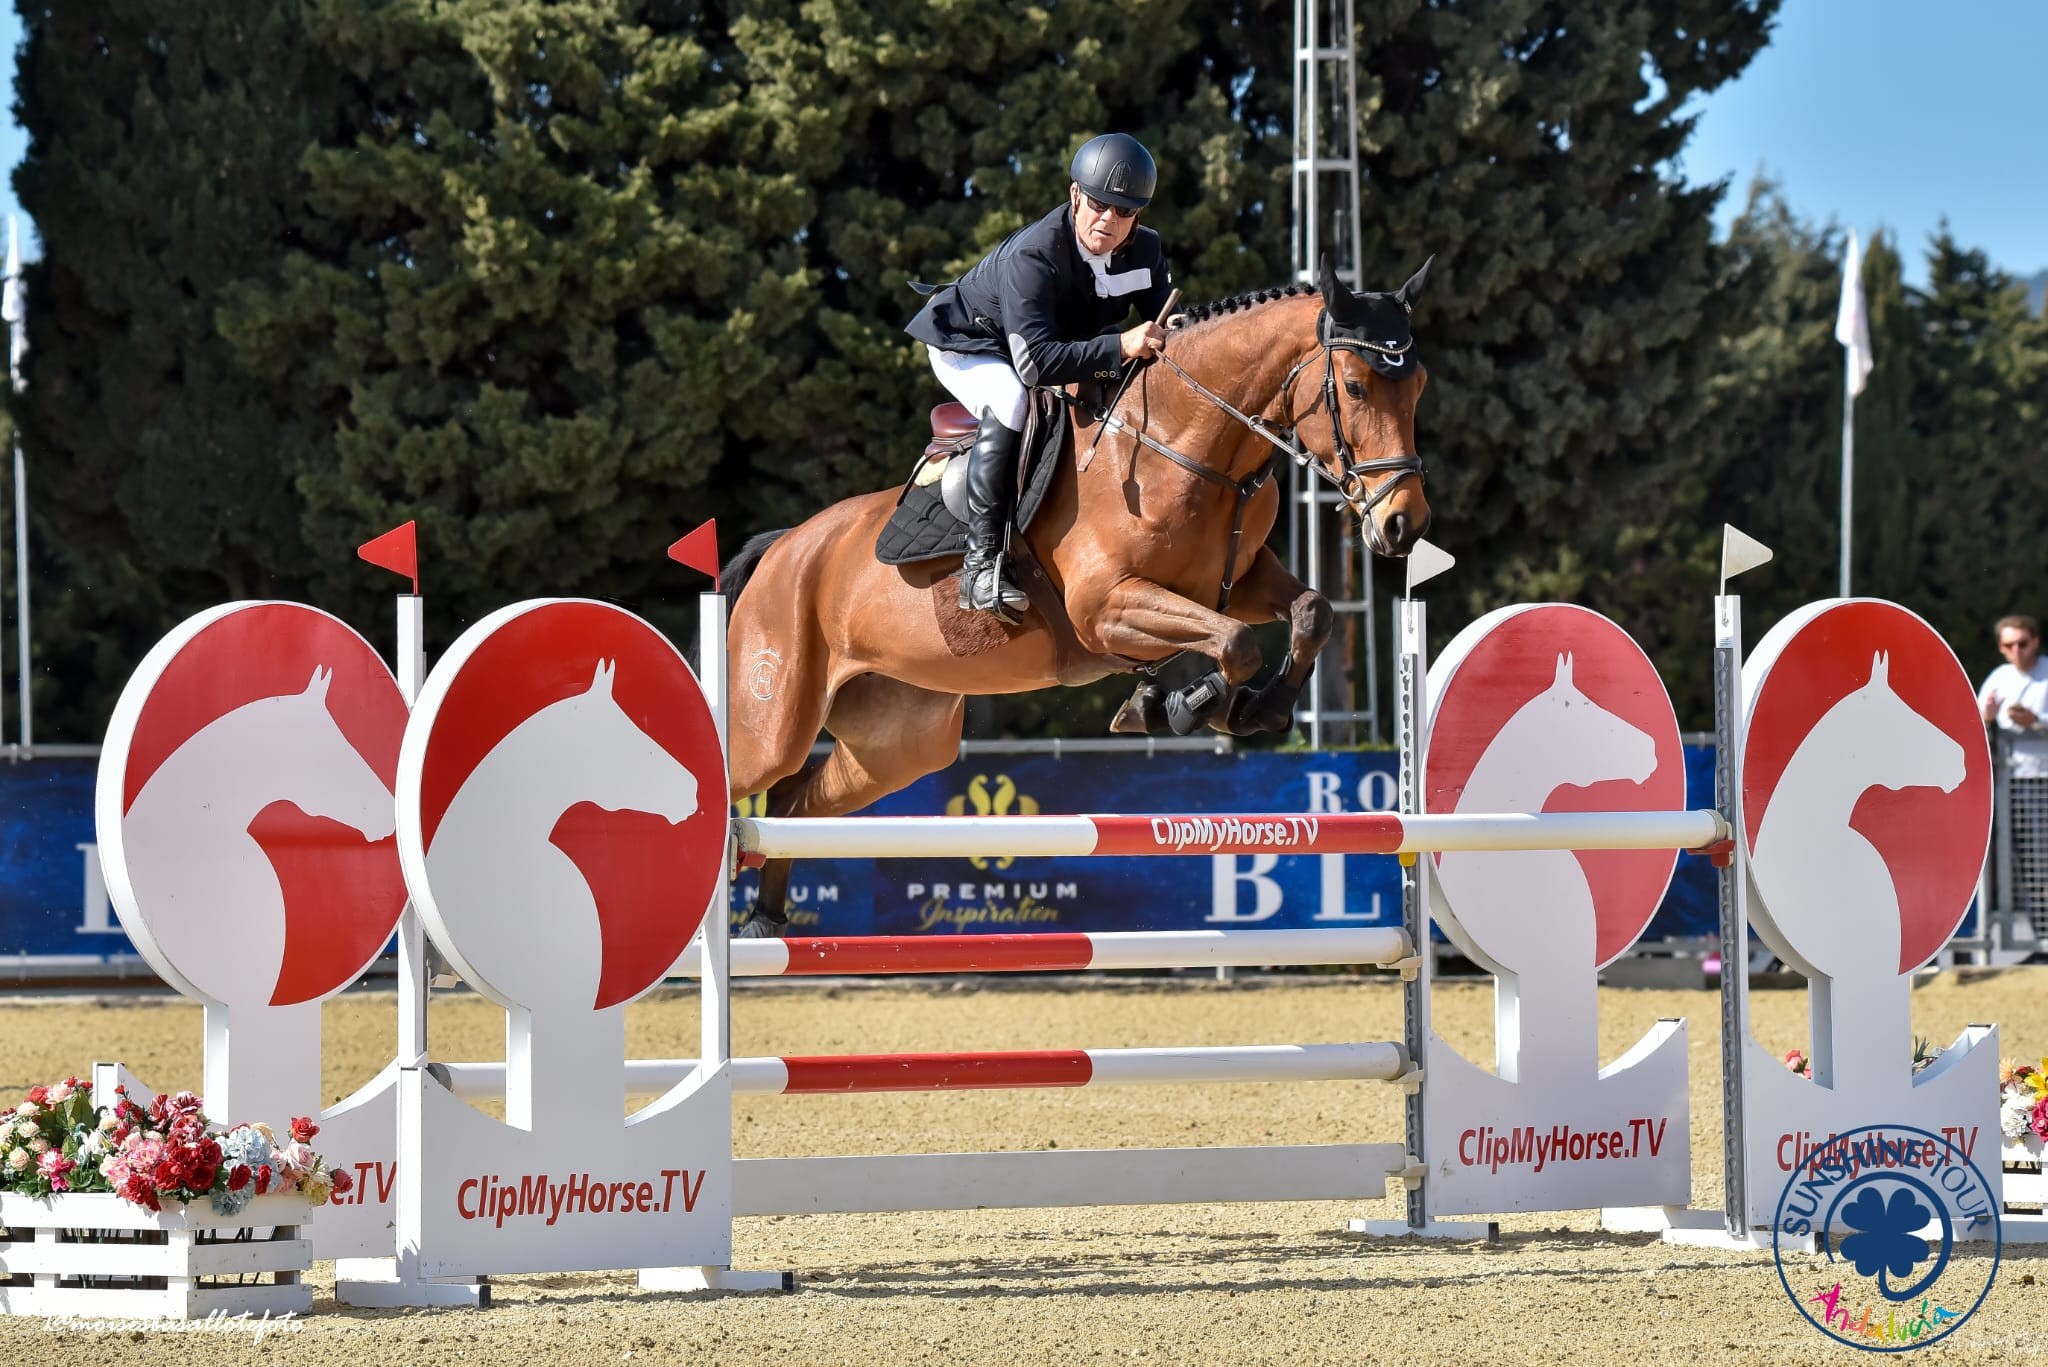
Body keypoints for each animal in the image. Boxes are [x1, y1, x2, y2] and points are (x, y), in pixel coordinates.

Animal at [723, 258, 1435, 933]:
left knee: (791, 807)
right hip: (772, 723)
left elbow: (1310, 613)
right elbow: (1234, 644)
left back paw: (766, 919)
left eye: (1419, 387)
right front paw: (1187, 706)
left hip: (898, 743)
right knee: (742, 780)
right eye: (1355, 386)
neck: (1183, 442)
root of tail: (785, 548)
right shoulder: (1105, 609)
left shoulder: (1237, 580)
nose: (1404, 523)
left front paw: (1252, 710)